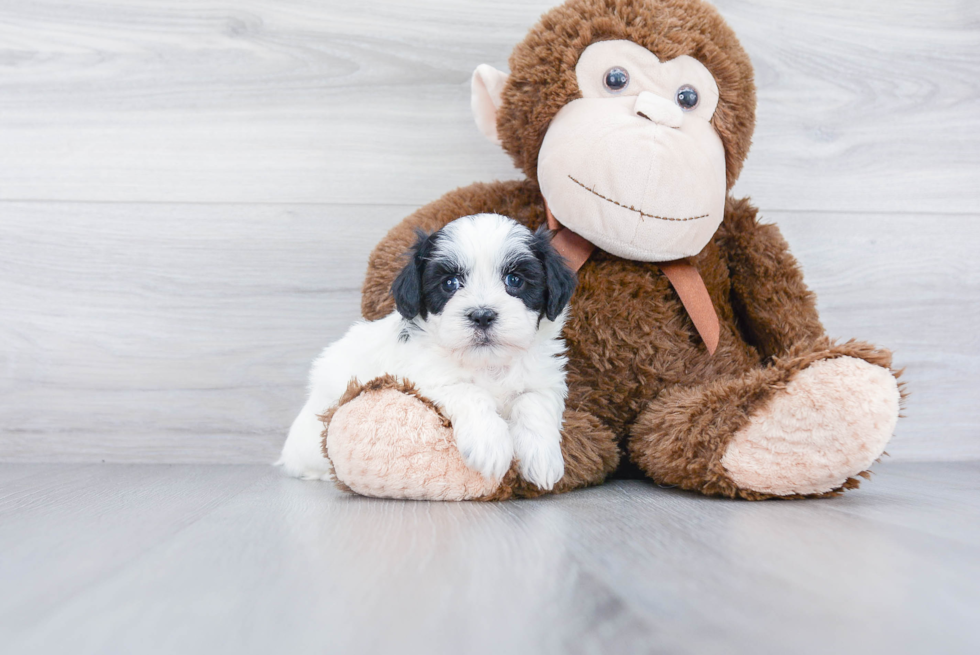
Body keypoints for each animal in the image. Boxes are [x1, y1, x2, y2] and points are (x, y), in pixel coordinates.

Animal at [276, 215, 580, 492]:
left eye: (514, 279)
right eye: (450, 283)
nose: (482, 315)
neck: (487, 364)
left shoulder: (544, 379)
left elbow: (533, 403)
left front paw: (542, 458)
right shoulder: (423, 377)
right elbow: (469, 391)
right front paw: (490, 444)